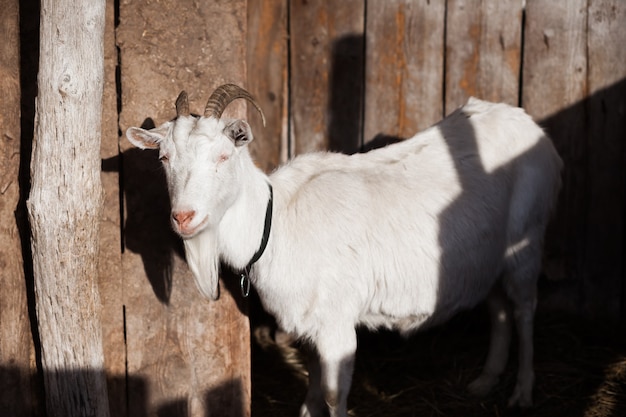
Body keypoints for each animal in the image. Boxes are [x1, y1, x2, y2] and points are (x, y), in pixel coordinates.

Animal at [125, 84, 560, 416]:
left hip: (528, 238)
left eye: (223, 155)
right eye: (164, 157)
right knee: (499, 308)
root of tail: (530, 127)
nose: (184, 217)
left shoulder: (337, 321)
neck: (277, 222)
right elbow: (314, 383)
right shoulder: (309, 323)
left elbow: (334, 393)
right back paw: (485, 382)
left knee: (524, 309)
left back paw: (522, 393)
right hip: (488, 257)